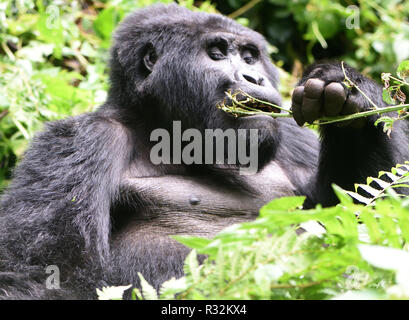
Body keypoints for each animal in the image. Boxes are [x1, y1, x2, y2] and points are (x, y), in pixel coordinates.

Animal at [0, 3, 408, 300]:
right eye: (217, 53)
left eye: (249, 57)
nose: (254, 77)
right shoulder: (81, 141)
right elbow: (45, 273)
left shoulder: (290, 138)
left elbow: (360, 213)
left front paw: (348, 102)